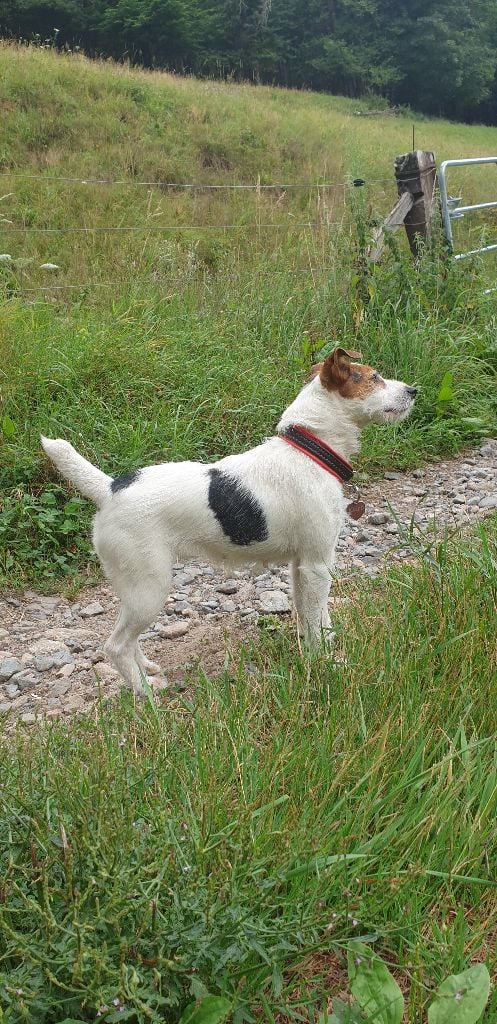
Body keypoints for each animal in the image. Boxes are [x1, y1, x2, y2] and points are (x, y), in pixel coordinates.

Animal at [41, 348, 413, 692]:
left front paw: (312, 652)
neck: (310, 449)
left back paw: (147, 669)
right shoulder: (317, 565)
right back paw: (146, 693)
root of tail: (109, 489)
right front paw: (329, 663)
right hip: (149, 588)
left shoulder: (301, 566)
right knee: (116, 645)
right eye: (374, 377)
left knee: (129, 640)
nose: (413, 390)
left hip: (135, 588)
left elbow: (310, 617)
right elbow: (319, 620)